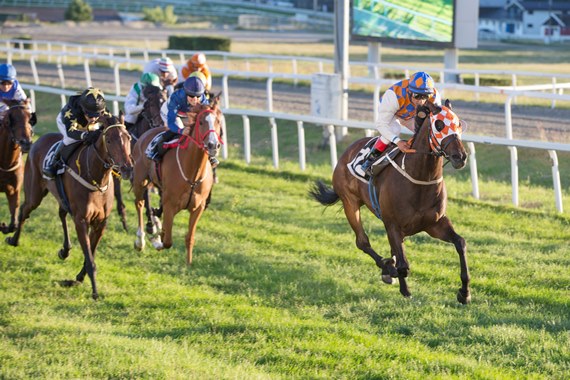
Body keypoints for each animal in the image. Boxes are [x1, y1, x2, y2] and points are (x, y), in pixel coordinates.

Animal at [0, 98, 36, 235]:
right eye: (10, 120)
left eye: (30, 118)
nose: (25, 143)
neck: (5, 163)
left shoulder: (14, 189)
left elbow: (13, 225)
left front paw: (4, 226)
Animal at [6, 113, 132, 300]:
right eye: (109, 140)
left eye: (128, 138)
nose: (128, 169)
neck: (95, 178)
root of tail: (39, 139)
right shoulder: (81, 221)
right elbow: (90, 259)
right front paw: (94, 292)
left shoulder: (100, 223)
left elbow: (90, 254)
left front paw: (78, 278)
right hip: (34, 193)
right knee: (24, 210)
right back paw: (14, 239)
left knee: (61, 213)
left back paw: (65, 250)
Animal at [113, 84, 166, 232]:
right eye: (152, 103)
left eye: (165, 101)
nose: (160, 123)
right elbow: (146, 196)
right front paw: (150, 223)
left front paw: (156, 213)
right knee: (117, 192)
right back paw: (123, 218)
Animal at [132, 96, 223, 266]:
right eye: (201, 122)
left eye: (218, 121)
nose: (213, 145)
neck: (193, 173)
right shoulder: (170, 205)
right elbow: (167, 241)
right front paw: (157, 240)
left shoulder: (198, 207)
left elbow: (190, 237)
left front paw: (188, 264)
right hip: (140, 180)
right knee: (140, 203)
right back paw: (140, 240)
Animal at [308, 100, 468, 302]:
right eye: (439, 125)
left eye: (459, 124)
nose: (460, 156)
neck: (420, 179)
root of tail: (348, 150)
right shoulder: (393, 224)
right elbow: (403, 265)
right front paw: (398, 280)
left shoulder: (435, 224)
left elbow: (460, 243)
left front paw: (464, 292)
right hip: (349, 203)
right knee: (362, 242)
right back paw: (387, 268)